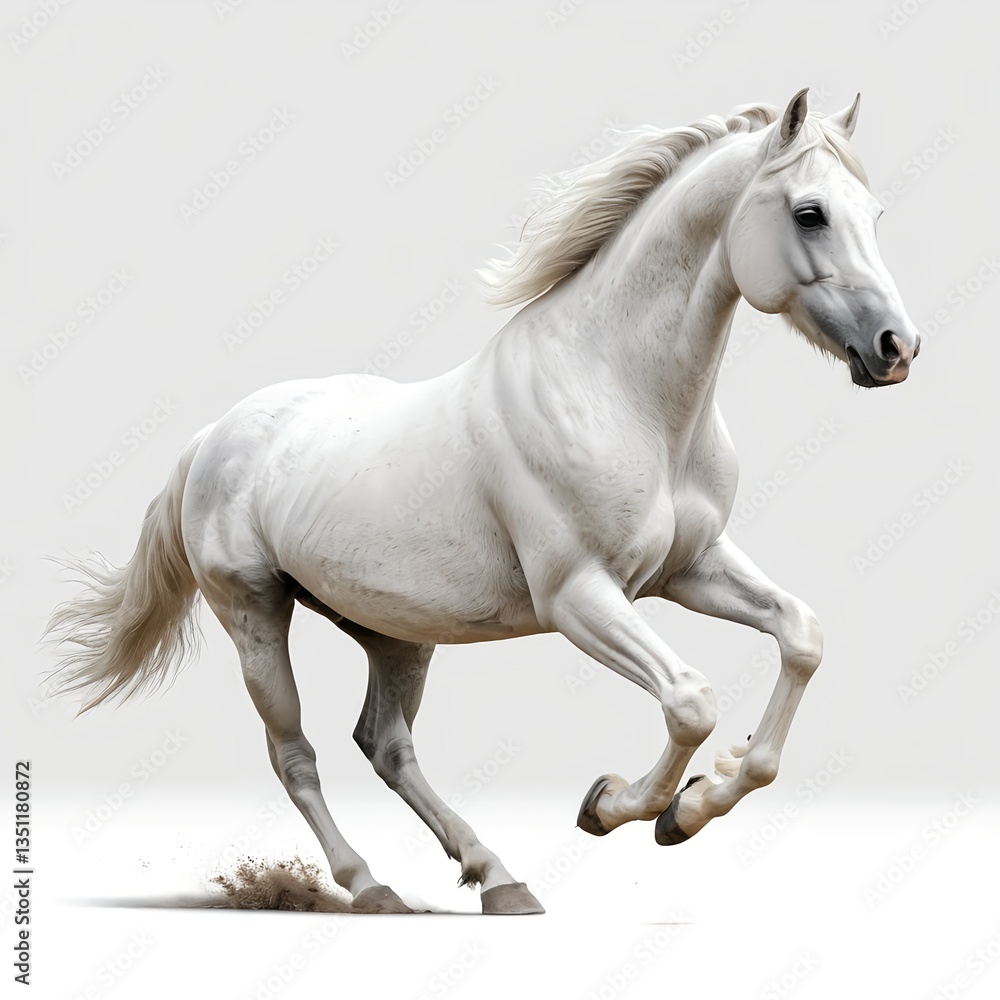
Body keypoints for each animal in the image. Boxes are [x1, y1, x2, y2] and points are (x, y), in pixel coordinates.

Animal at [47, 89, 919, 914]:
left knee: (386, 744)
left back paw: (497, 877)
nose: (897, 349)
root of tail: (211, 436)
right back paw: (373, 888)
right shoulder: (579, 595)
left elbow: (801, 637)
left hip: (395, 632)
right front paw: (614, 807)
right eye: (809, 213)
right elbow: (690, 702)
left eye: (874, 213)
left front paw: (695, 804)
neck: (620, 394)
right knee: (295, 754)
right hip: (255, 613)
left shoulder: (691, 568)